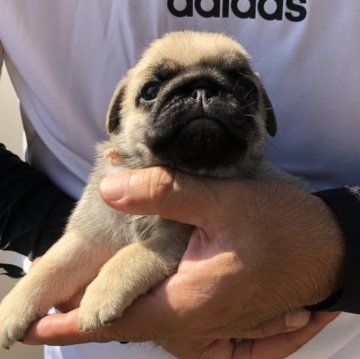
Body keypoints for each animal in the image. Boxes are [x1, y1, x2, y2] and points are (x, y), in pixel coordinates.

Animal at [0, 31, 304, 348]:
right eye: (150, 91)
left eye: (246, 90)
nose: (202, 90)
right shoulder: (89, 237)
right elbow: (51, 267)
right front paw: (13, 307)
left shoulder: (175, 236)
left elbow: (131, 253)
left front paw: (101, 295)